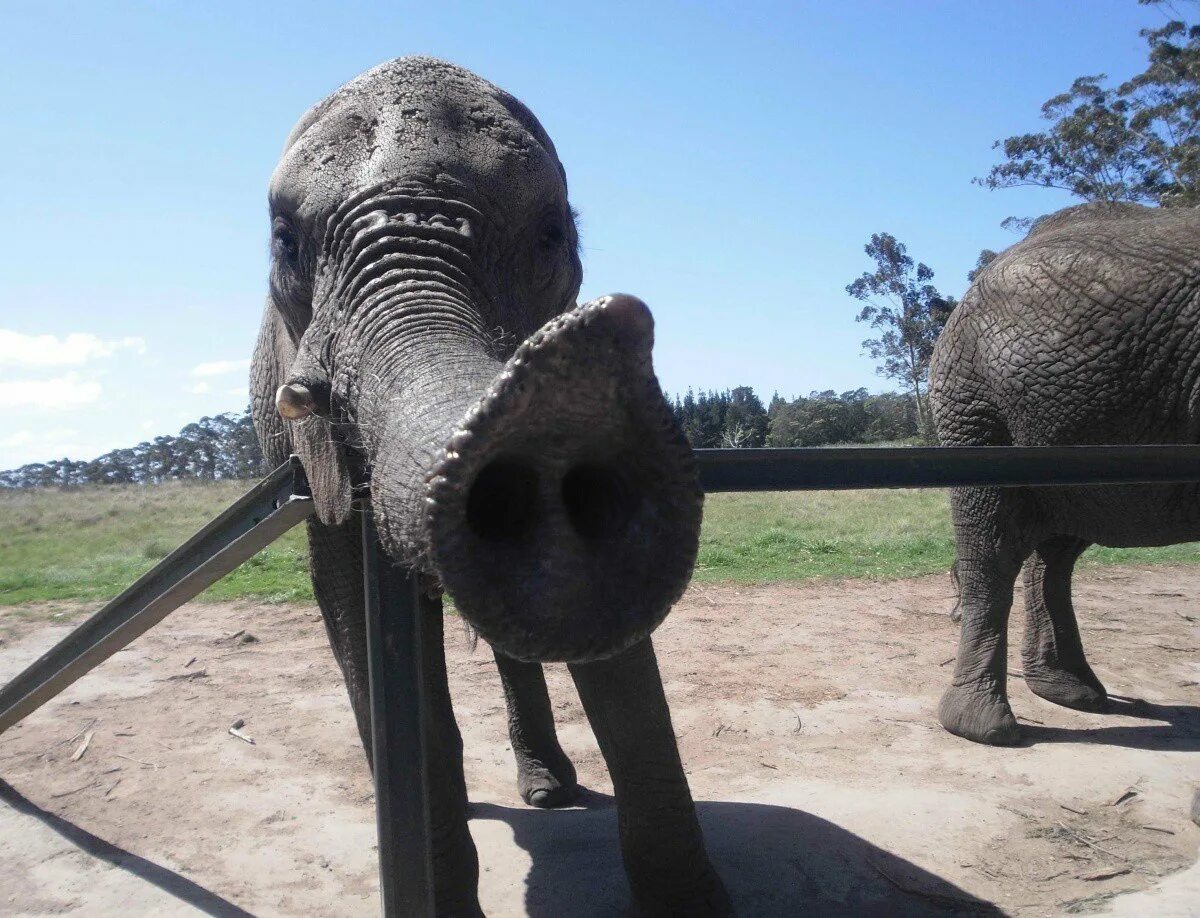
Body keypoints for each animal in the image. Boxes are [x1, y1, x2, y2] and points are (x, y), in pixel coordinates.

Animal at [249, 59, 729, 916]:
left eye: (552, 236)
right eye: (285, 241)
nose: (605, 332)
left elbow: (615, 648)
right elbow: (352, 603)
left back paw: (547, 791)